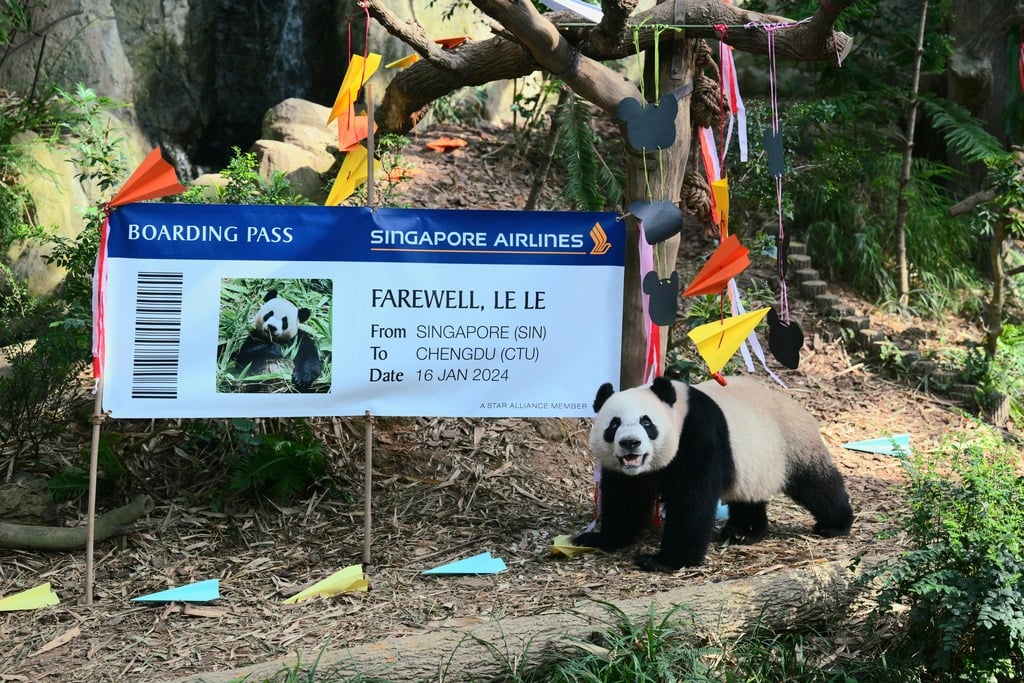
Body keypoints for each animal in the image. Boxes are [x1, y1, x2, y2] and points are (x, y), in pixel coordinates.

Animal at [573, 375, 853, 572]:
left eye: (646, 422)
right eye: (614, 424)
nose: (630, 443)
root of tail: (793, 402)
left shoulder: (697, 435)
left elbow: (692, 502)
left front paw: (664, 561)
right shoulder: (626, 472)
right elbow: (624, 500)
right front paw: (600, 539)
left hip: (791, 441)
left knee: (817, 484)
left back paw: (835, 525)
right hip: (755, 461)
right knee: (749, 497)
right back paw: (744, 531)